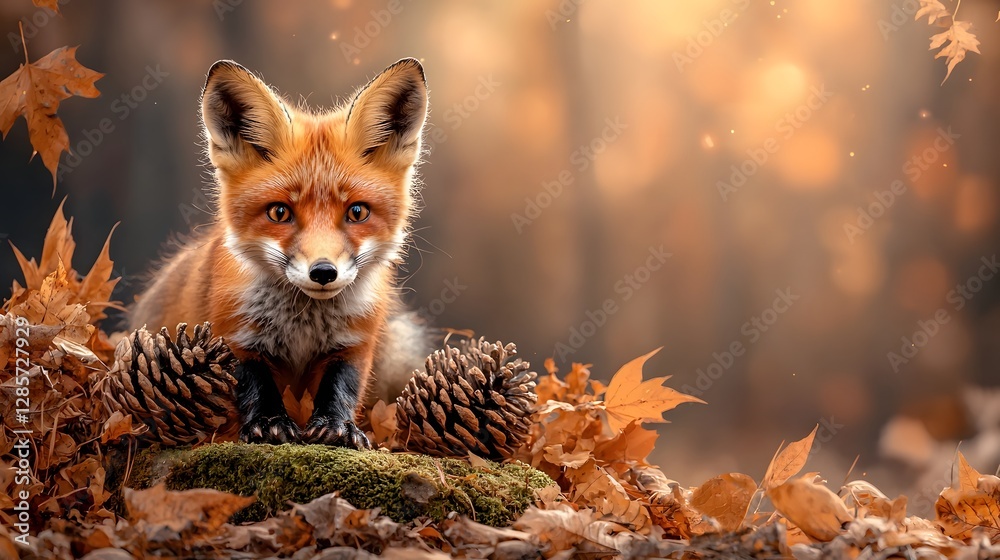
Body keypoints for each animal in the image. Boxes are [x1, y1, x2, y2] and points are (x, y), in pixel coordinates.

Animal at [130, 58, 432, 449]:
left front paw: (337, 427)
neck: (302, 323)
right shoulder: (234, 333)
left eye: (357, 212)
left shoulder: (355, 341)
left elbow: (341, 389)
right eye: (279, 213)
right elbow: (254, 385)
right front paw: (269, 424)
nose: (323, 272)